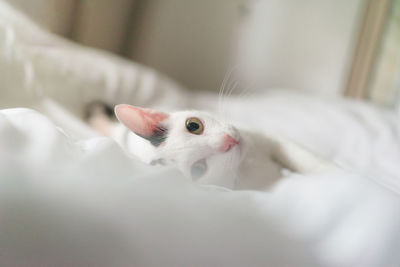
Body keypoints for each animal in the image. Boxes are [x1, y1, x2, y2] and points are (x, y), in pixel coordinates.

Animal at [86, 103, 334, 191]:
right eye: (198, 169)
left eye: (193, 125)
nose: (228, 142)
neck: (249, 162)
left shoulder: (267, 137)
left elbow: (306, 158)